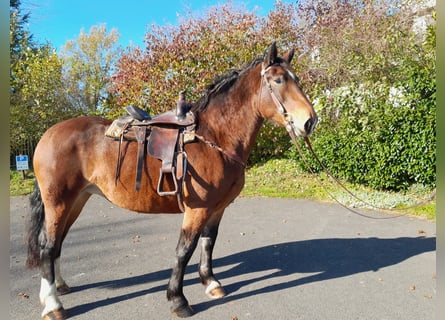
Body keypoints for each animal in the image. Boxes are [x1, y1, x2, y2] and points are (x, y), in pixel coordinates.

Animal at [26, 42, 318, 318]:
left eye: (296, 79)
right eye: (278, 80)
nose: (309, 121)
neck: (214, 137)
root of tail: (48, 135)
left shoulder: (217, 209)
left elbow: (208, 243)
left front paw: (211, 283)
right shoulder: (197, 209)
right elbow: (184, 250)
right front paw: (178, 300)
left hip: (77, 200)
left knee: (57, 243)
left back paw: (57, 288)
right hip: (59, 202)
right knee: (47, 246)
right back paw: (53, 305)